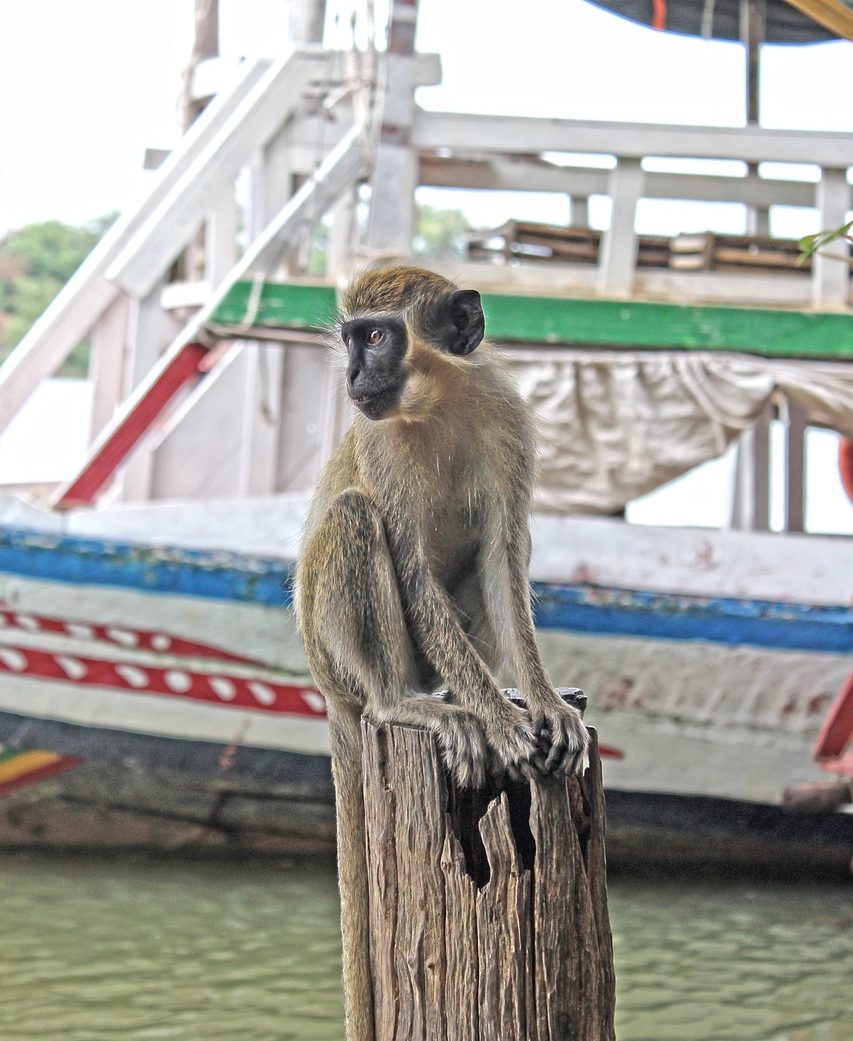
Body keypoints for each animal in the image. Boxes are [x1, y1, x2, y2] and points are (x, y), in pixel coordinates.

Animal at [294, 266, 589, 1041]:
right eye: (352, 338)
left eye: (375, 336)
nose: (354, 375)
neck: (439, 402)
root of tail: (328, 691)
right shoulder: (379, 444)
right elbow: (413, 569)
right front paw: (504, 723)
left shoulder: (506, 419)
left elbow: (503, 554)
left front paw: (541, 702)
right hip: (333, 651)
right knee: (355, 516)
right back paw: (411, 705)